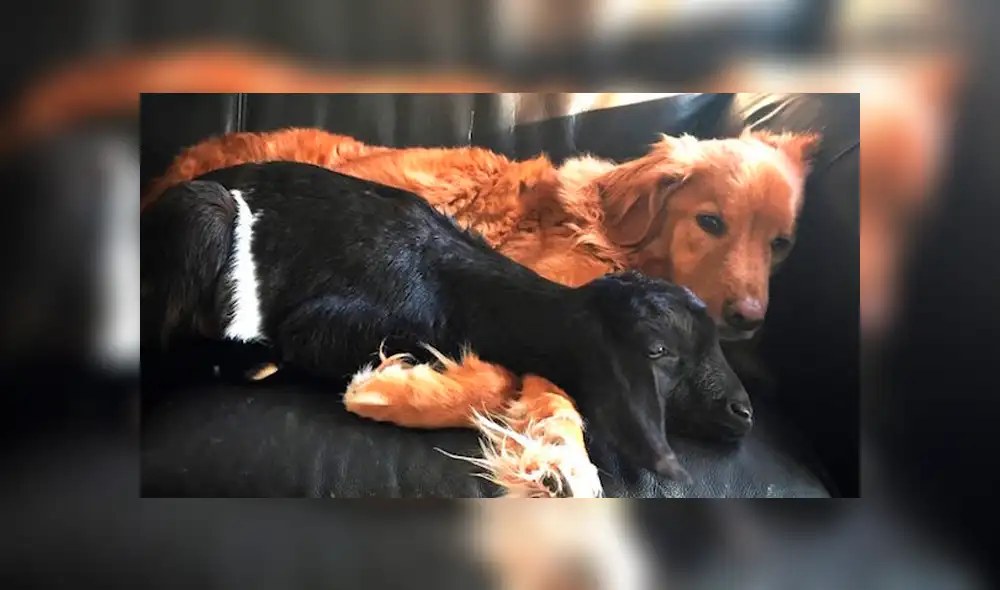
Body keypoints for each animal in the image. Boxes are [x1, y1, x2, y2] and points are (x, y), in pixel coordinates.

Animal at [141, 161, 753, 497]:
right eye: (659, 350)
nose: (744, 411)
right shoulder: (320, 327)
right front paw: (382, 390)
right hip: (202, 216)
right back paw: (249, 360)